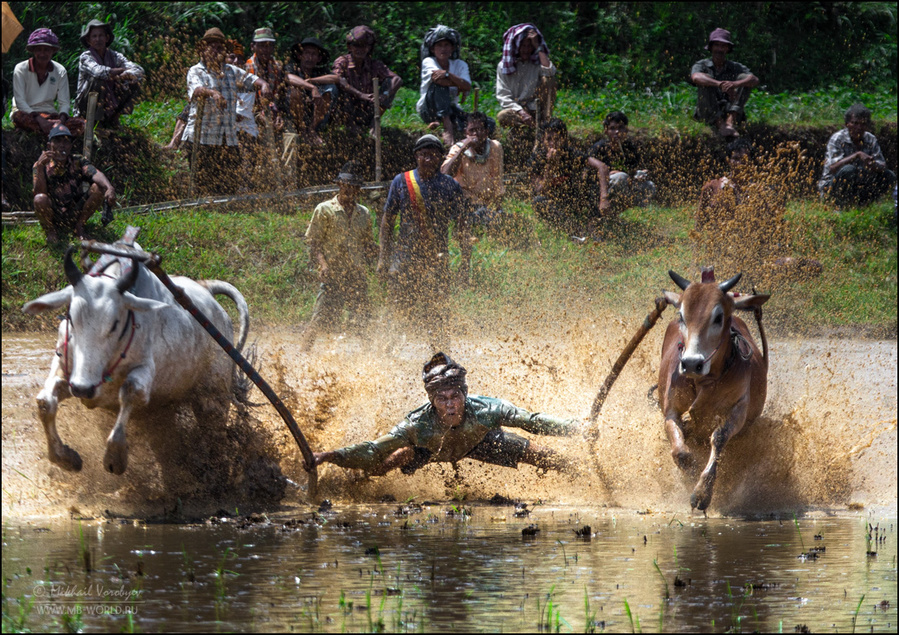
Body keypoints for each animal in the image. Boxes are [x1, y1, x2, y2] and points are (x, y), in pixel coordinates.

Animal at [24, 248, 250, 476]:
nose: (83, 388)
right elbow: (45, 402)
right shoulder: (65, 371)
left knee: (214, 433)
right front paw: (65, 458)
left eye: (115, 324)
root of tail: (208, 292)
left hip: (214, 398)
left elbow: (129, 392)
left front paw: (115, 457)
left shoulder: (143, 374)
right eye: (70, 317)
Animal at [656, 268, 768, 512]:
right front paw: (690, 473)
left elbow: (718, 439)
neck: (704, 381)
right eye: (682, 316)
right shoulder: (671, 410)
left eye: (718, 317)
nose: (691, 363)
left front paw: (702, 493)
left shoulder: (738, 409)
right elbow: (681, 451)